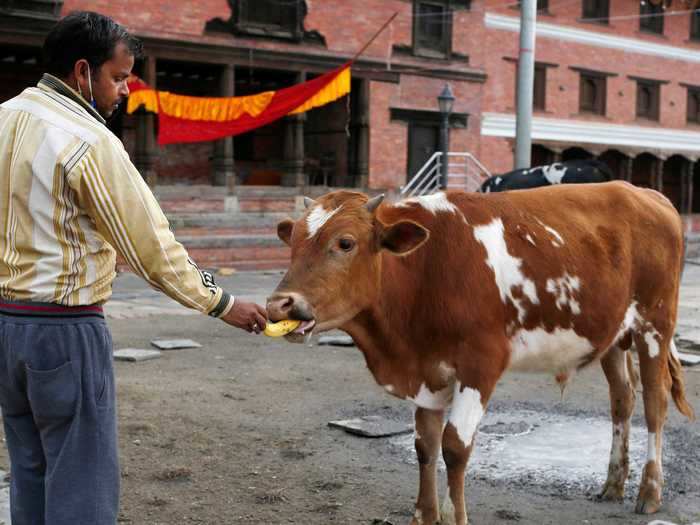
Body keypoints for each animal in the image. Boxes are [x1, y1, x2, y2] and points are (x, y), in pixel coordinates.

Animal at [266, 181, 696, 524]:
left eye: (345, 243)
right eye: (294, 243)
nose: (279, 304)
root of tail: (645, 192)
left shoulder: (480, 364)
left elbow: (455, 448)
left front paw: (454, 516)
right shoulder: (428, 369)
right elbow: (425, 445)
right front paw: (424, 516)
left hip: (655, 324)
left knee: (655, 404)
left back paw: (649, 492)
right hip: (611, 335)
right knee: (622, 400)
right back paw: (612, 483)